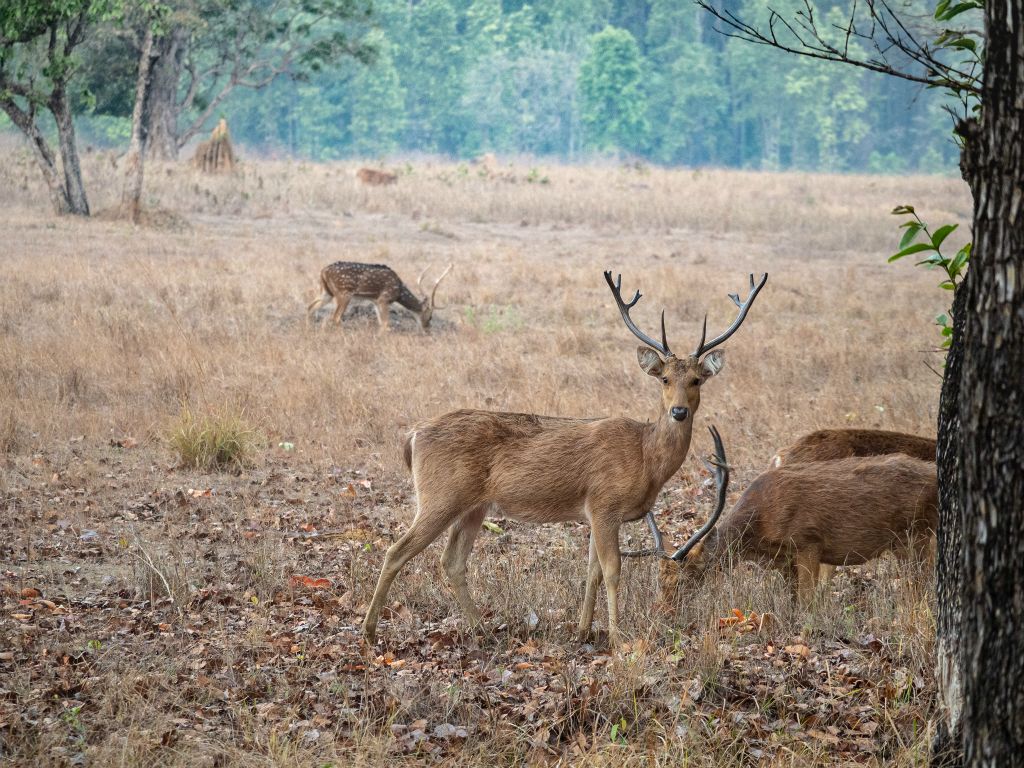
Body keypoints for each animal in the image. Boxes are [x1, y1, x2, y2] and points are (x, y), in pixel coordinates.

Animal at [305, 262, 454, 331]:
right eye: (430, 316)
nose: (427, 328)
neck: (399, 291)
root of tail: (323, 272)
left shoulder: (375, 301)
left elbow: (381, 323)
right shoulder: (384, 299)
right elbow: (386, 324)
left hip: (327, 292)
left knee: (310, 306)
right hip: (344, 293)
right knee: (335, 317)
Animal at [362, 270, 770, 651]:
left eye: (697, 380)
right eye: (665, 379)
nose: (679, 411)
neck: (645, 457)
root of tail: (414, 435)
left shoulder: (595, 512)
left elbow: (592, 571)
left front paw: (582, 631)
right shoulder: (604, 503)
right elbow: (612, 570)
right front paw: (619, 638)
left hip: (473, 505)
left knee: (452, 560)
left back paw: (481, 629)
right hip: (440, 494)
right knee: (397, 551)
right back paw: (368, 632)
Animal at [659, 450, 937, 606]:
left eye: (683, 580)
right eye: (660, 581)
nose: (665, 612)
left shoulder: (809, 541)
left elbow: (806, 602)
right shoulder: (784, 561)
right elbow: (792, 602)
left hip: (917, 533)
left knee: (923, 583)